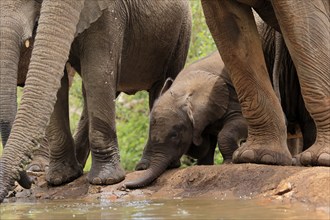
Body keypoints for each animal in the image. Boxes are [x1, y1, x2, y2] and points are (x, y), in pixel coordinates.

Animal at [0, 0, 191, 203]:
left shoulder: (110, 12)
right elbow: (58, 80)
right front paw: (61, 179)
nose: (29, 181)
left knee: (161, 86)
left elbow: (97, 72)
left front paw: (105, 180)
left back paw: (149, 166)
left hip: (181, 33)